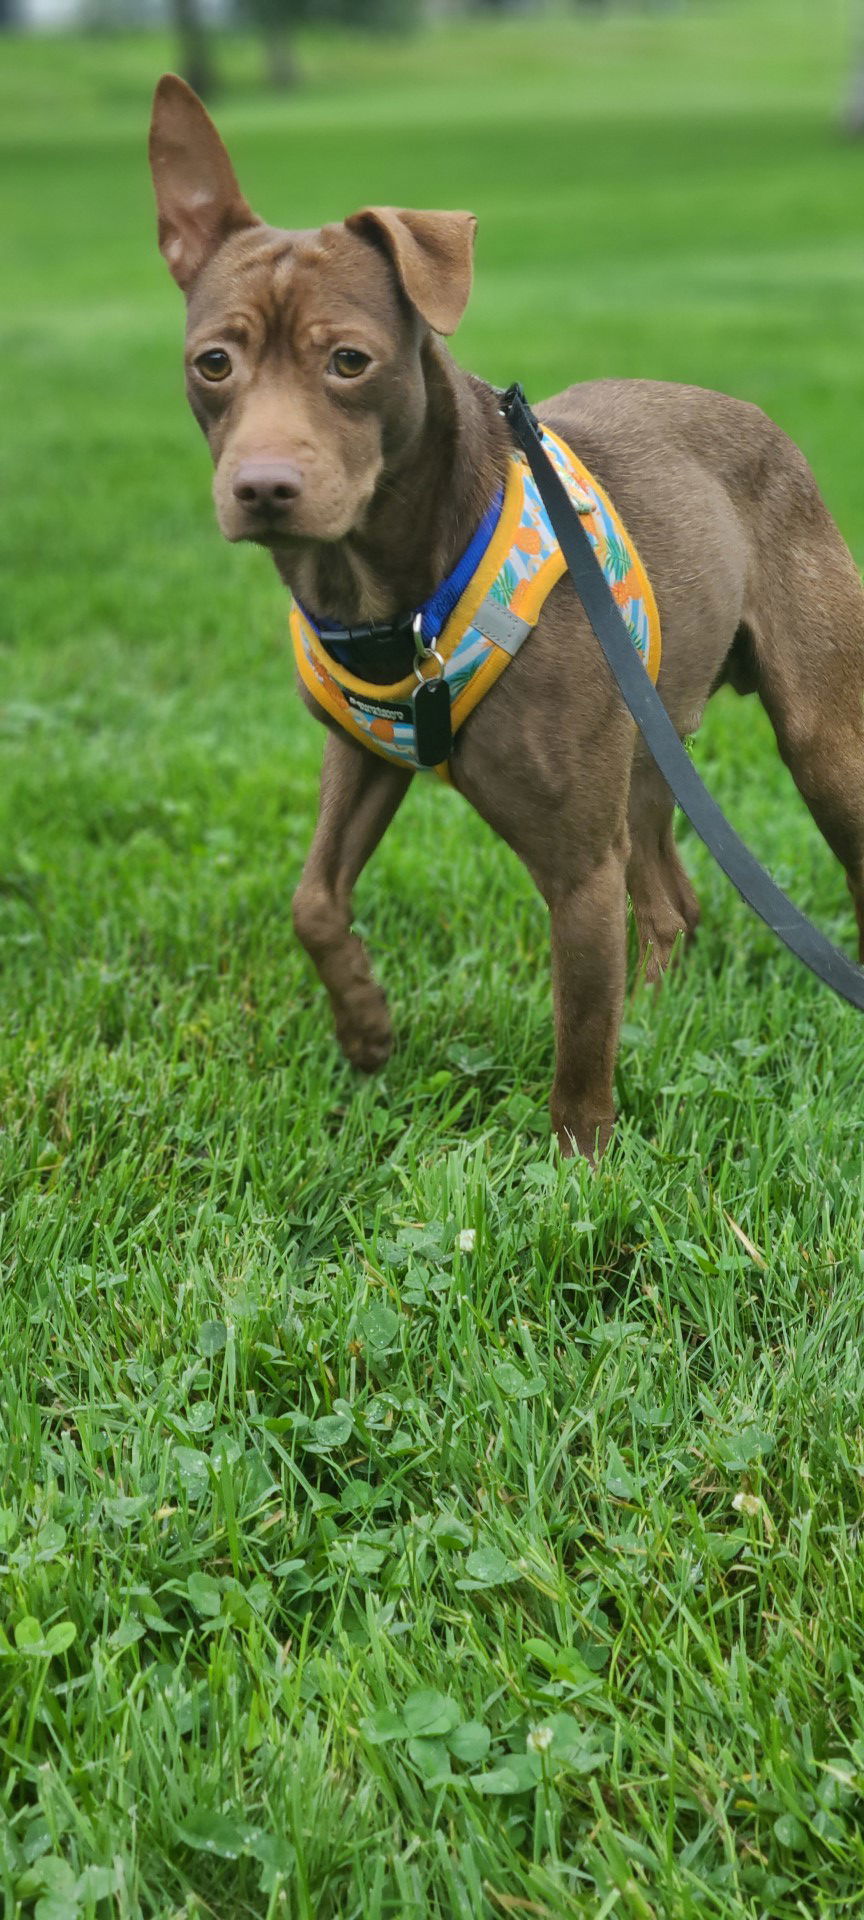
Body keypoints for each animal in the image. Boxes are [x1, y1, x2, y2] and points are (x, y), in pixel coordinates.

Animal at [151, 74, 864, 1152]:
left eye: (350, 361)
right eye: (213, 364)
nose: (264, 489)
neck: (392, 601)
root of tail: (758, 418)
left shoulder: (578, 869)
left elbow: (580, 1036)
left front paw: (584, 1164)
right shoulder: (363, 752)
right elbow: (313, 899)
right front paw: (364, 1026)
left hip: (821, 740)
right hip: (647, 746)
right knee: (673, 903)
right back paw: (662, 1007)